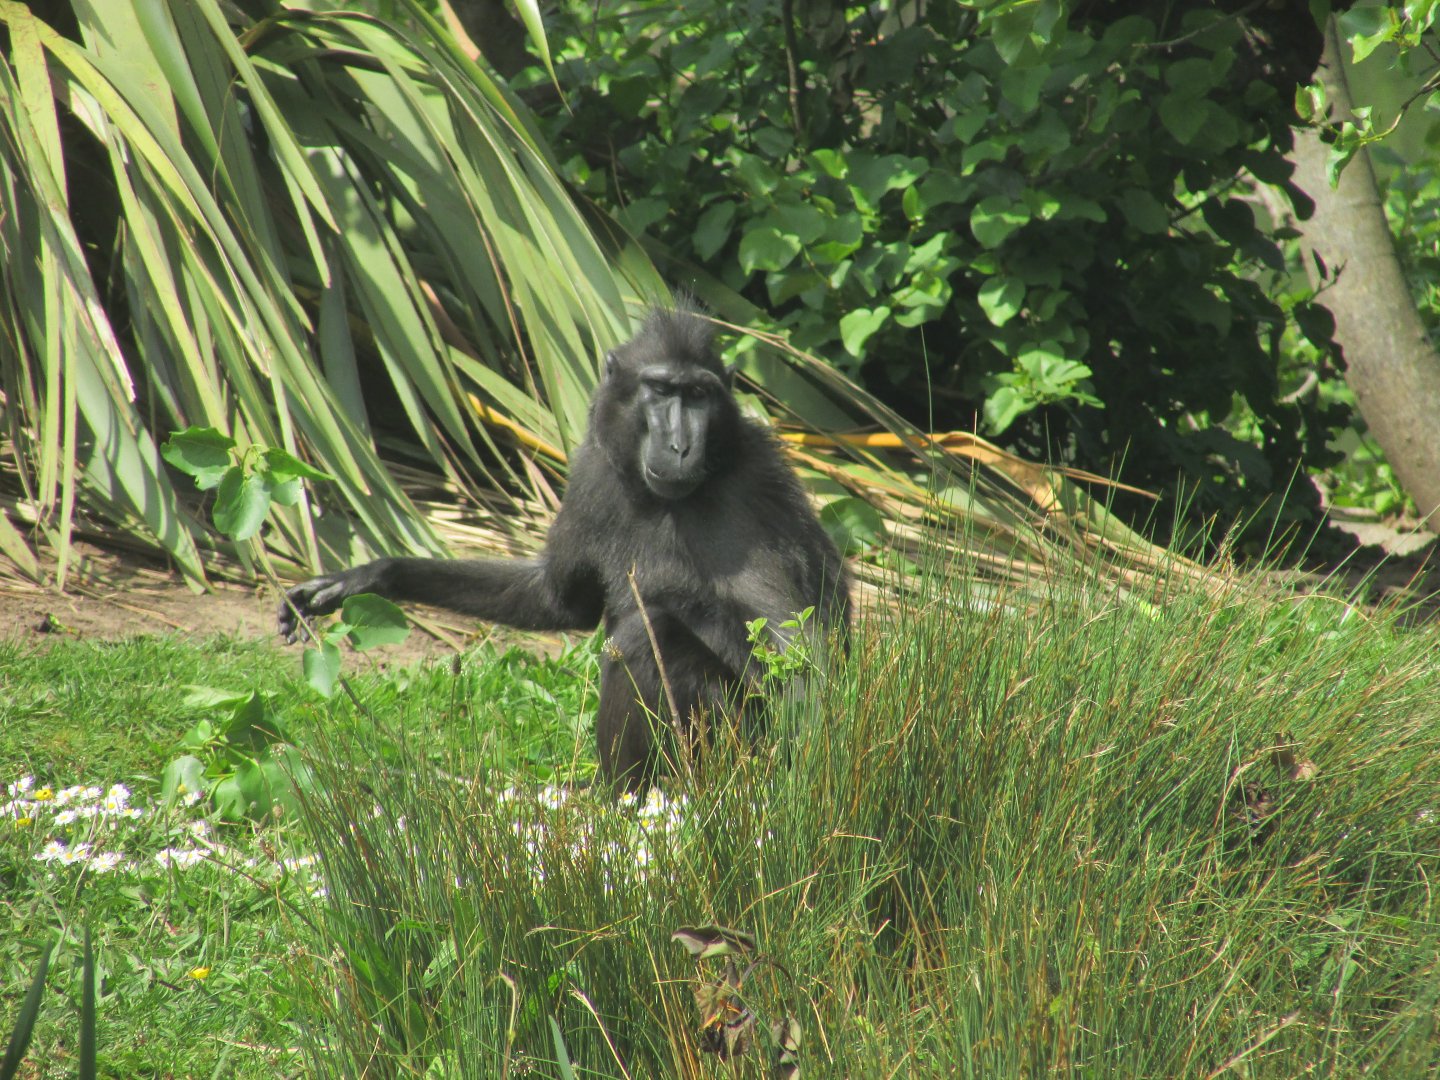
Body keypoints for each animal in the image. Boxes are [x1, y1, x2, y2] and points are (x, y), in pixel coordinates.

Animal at [278, 302, 850, 790]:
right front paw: (373, 577)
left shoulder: (751, 489)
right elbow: (559, 602)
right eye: (661, 390)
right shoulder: (591, 473)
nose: (680, 446)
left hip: (736, 746)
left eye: (699, 395)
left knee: (644, 637)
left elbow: (798, 651)